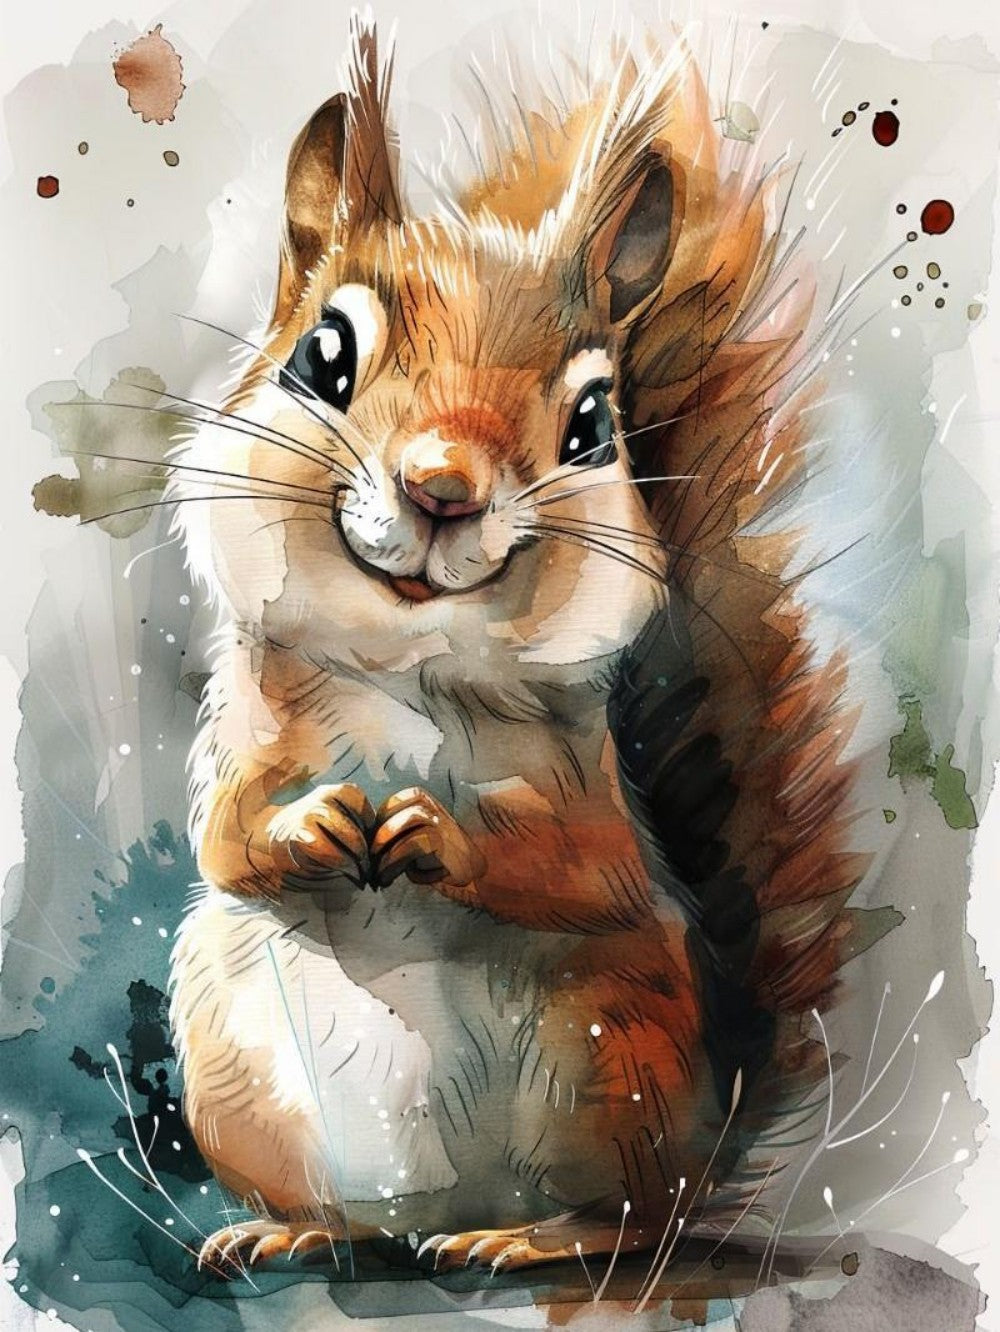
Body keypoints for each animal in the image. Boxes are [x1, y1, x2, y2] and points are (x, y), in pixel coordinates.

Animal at [168, 18, 884, 1277]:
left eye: (593, 425)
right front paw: (317, 826)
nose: (441, 487)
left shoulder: (585, 793)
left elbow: (573, 869)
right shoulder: (242, 744)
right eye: (322, 356)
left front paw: (436, 831)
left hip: (610, 1057)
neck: (403, 667)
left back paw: (527, 1237)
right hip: (230, 1060)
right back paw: (287, 1229)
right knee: (348, 1216)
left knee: (629, 1217)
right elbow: (229, 839)